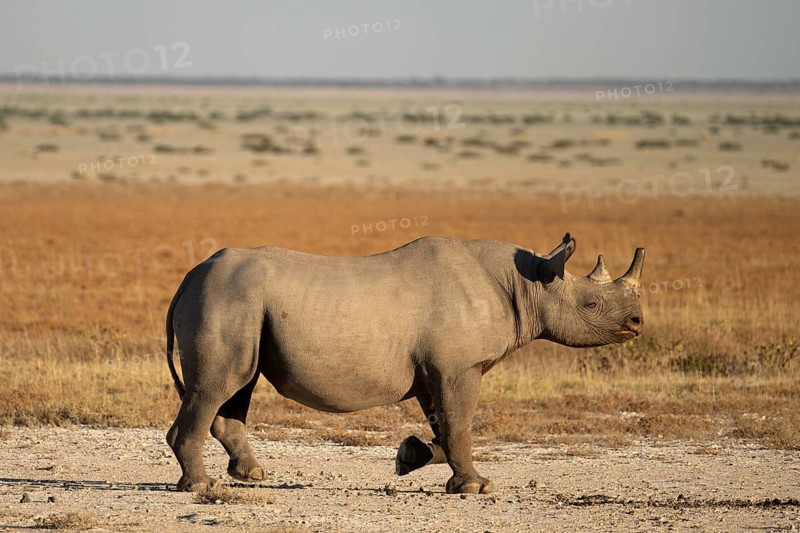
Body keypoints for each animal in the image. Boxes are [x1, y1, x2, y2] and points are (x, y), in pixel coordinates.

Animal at [165, 233, 644, 494]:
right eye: (592, 304)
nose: (638, 323)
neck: (526, 283)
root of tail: (189, 276)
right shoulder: (459, 367)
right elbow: (460, 423)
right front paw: (476, 487)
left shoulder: (437, 371)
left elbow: (445, 426)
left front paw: (409, 457)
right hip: (227, 297)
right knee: (218, 386)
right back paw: (202, 486)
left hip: (237, 302)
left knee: (239, 383)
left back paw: (251, 474)